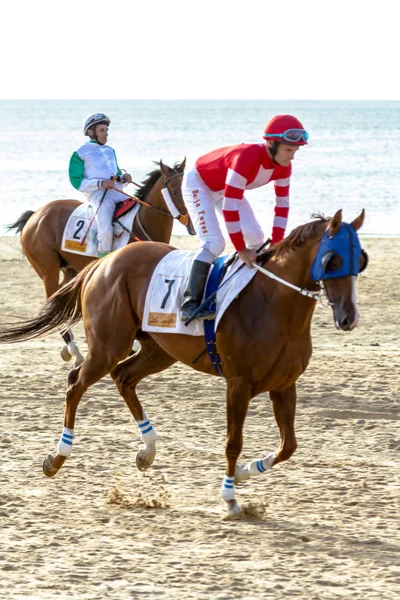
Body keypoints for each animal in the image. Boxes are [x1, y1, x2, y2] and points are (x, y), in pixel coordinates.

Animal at [0, 210, 368, 516]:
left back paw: (147, 450)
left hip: (158, 350)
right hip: (109, 346)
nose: (348, 317)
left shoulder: (283, 384)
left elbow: (288, 445)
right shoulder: (238, 385)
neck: (273, 304)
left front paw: (245, 474)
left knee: (123, 377)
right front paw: (230, 498)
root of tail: (103, 262)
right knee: (76, 382)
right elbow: (233, 443)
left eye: (360, 259)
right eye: (334, 259)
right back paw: (57, 457)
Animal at [8, 159, 191, 364]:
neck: (139, 223)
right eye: (175, 191)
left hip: (70, 271)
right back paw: (74, 350)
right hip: (48, 270)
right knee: (51, 299)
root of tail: (35, 214)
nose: (191, 221)